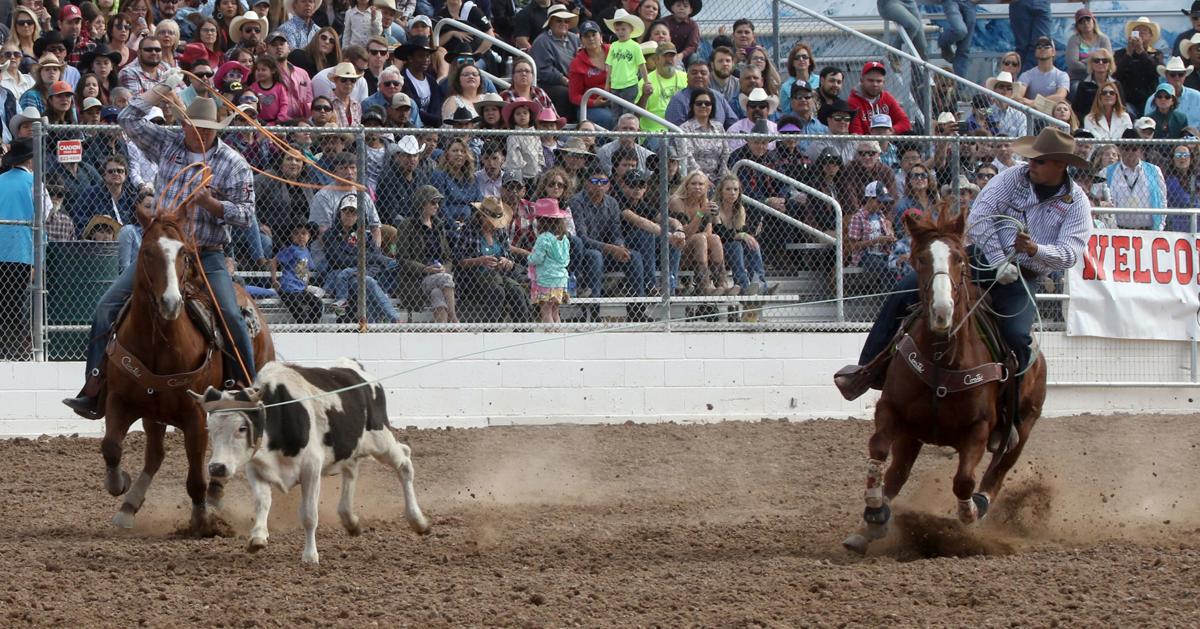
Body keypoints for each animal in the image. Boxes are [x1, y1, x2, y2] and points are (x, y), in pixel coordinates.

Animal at [102, 204, 274, 532]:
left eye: (184, 254)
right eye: (147, 252)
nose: (171, 303)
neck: (160, 343)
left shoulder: (195, 416)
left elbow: (196, 476)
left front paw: (201, 521)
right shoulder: (120, 400)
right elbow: (111, 447)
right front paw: (119, 484)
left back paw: (215, 496)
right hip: (154, 414)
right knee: (155, 455)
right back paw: (129, 506)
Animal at [189, 357, 429, 564]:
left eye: (242, 428)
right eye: (210, 428)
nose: (217, 467)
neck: (281, 415)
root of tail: (355, 368)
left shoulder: (311, 469)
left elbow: (309, 515)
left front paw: (310, 555)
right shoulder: (255, 468)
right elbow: (262, 502)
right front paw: (258, 537)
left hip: (381, 440)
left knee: (405, 461)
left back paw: (418, 521)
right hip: (351, 446)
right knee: (351, 470)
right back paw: (350, 519)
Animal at [844, 208, 1041, 552]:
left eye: (960, 259)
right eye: (920, 259)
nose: (941, 311)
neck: (942, 358)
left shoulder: (979, 429)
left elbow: (964, 481)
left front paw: (969, 512)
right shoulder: (891, 410)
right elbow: (878, 448)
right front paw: (874, 511)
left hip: (1024, 426)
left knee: (997, 472)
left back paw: (981, 503)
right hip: (911, 435)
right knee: (897, 473)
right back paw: (869, 528)